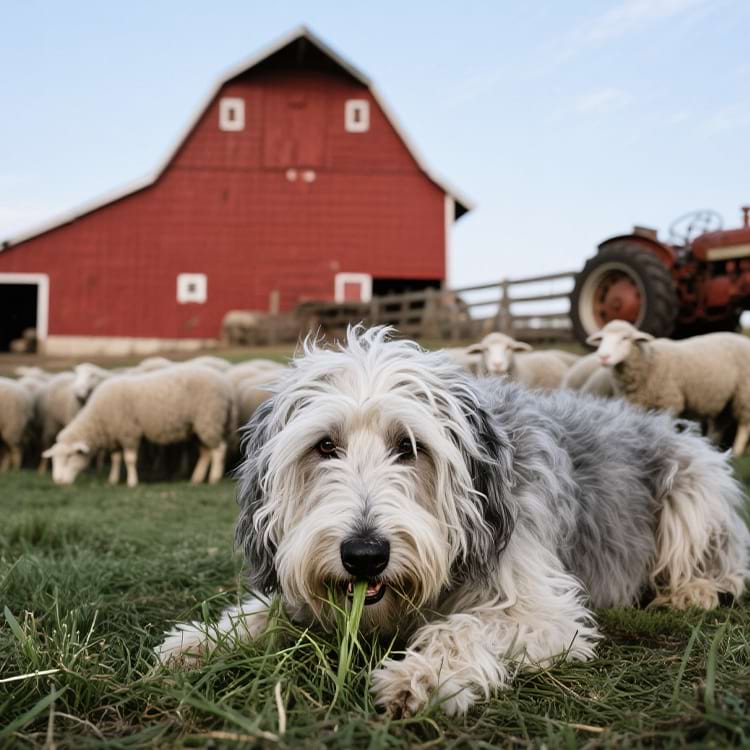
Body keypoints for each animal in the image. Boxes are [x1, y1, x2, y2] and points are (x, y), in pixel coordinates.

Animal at [43, 366, 234, 487]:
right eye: (54, 459)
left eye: (69, 456)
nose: (58, 481)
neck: (99, 417)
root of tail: (225, 383)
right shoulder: (117, 433)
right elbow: (116, 458)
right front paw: (112, 480)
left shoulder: (129, 432)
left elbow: (129, 459)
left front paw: (132, 482)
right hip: (198, 427)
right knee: (206, 453)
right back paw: (196, 479)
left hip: (210, 419)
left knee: (219, 450)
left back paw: (214, 478)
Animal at [587, 319, 750, 456]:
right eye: (602, 339)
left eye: (625, 338)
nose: (603, 357)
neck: (649, 361)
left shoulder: (669, 402)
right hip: (727, 400)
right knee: (720, 424)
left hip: (744, 393)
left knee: (743, 425)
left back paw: (737, 451)